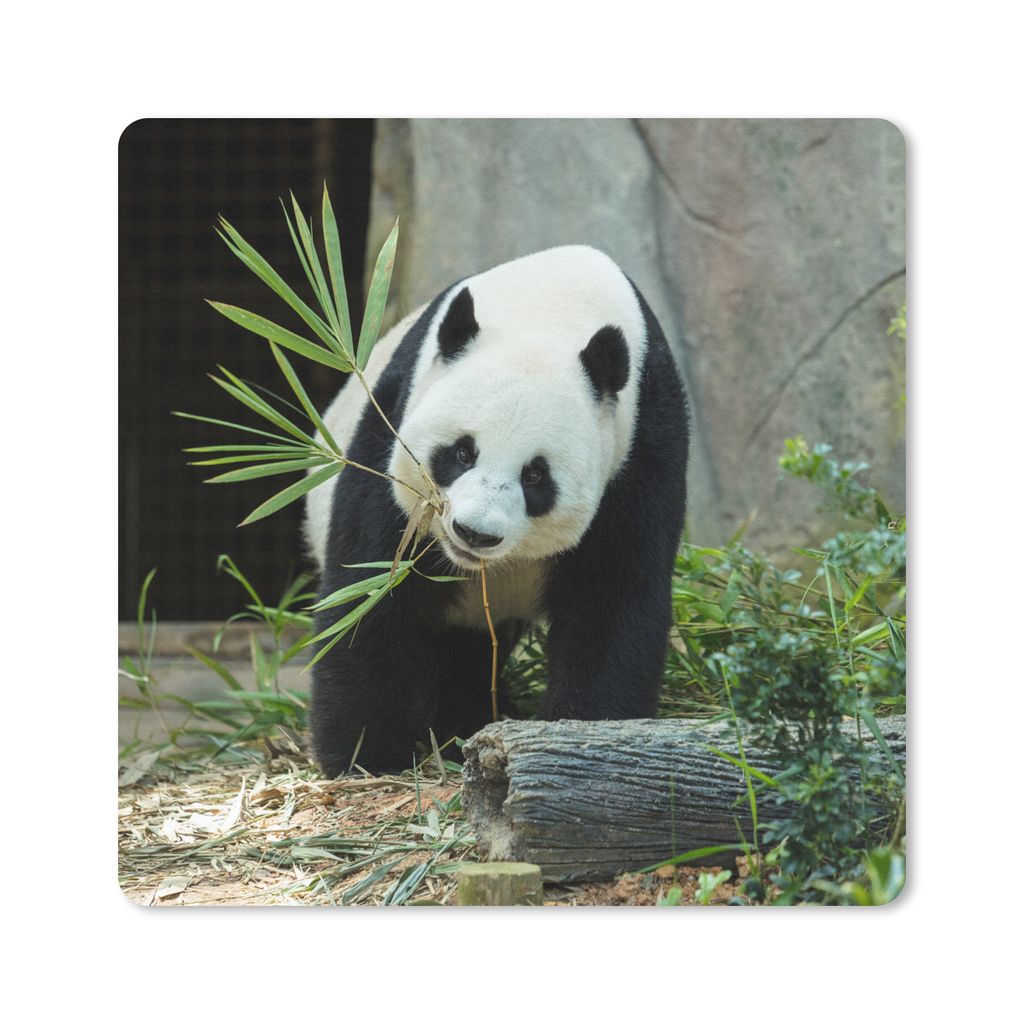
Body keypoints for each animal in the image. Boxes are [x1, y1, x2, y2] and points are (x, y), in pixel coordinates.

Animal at [304, 245, 689, 775]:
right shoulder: (393, 426)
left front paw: (586, 734)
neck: (549, 307)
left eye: (536, 476)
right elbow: (372, 590)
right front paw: (368, 755)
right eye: (462, 452)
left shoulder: (641, 448)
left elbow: (613, 597)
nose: (474, 533)